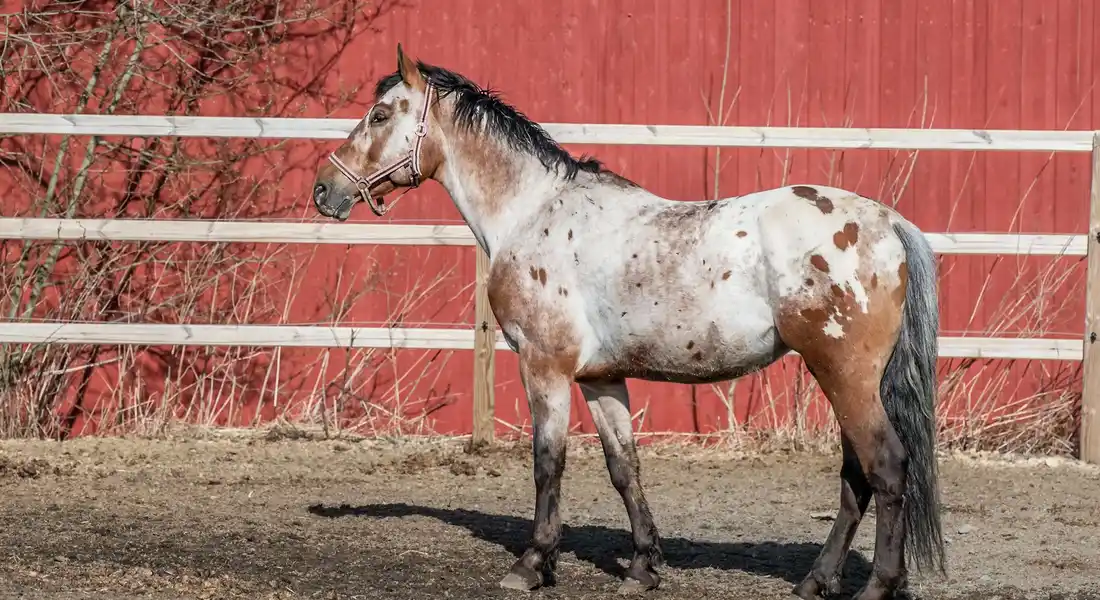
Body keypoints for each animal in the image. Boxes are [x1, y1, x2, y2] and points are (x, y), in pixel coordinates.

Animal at [310, 45, 945, 600]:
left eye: (380, 114)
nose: (325, 189)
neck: (532, 212)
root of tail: (888, 223)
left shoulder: (545, 368)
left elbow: (548, 464)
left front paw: (532, 564)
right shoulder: (600, 378)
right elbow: (624, 467)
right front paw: (643, 566)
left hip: (845, 375)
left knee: (885, 468)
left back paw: (877, 585)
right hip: (846, 379)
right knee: (856, 478)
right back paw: (816, 581)